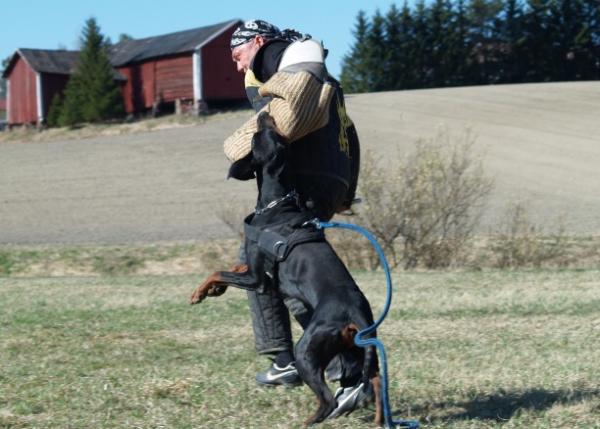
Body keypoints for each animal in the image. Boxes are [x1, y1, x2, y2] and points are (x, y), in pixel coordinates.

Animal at [190, 111, 382, 424]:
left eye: (260, 135)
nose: (265, 113)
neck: (276, 204)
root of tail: (355, 315)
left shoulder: (258, 279)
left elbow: (220, 270)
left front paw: (200, 292)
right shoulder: (257, 270)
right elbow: (232, 268)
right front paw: (212, 290)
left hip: (308, 348)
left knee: (327, 399)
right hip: (361, 349)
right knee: (375, 380)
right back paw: (378, 418)